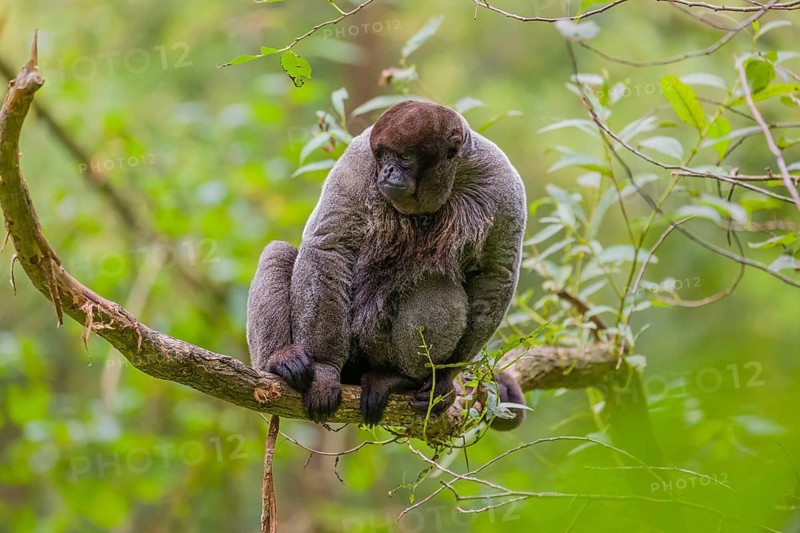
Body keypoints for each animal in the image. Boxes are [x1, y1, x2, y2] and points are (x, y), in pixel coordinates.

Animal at [246, 100, 527, 429]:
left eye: (404, 157)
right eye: (382, 156)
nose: (388, 170)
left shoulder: (502, 181)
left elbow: (496, 273)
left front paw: (446, 378)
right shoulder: (357, 162)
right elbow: (328, 247)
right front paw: (324, 371)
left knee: (436, 283)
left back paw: (402, 378)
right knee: (278, 253)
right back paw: (281, 362)